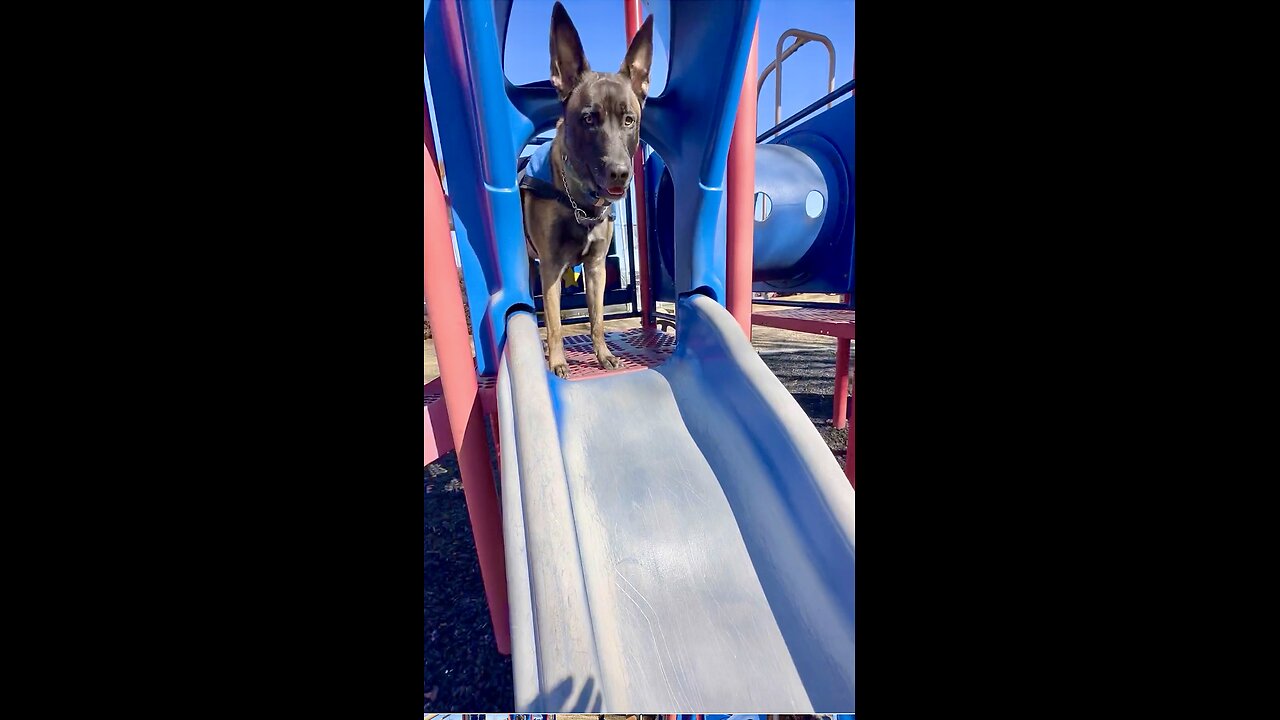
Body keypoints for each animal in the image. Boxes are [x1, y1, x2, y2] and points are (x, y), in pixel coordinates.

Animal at [517, 1, 655, 376]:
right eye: (589, 119)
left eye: (629, 119)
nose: (620, 174)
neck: (580, 202)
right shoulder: (551, 267)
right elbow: (554, 323)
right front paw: (558, 362)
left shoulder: (595, 269)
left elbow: (596, 319)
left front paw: (603, 354)